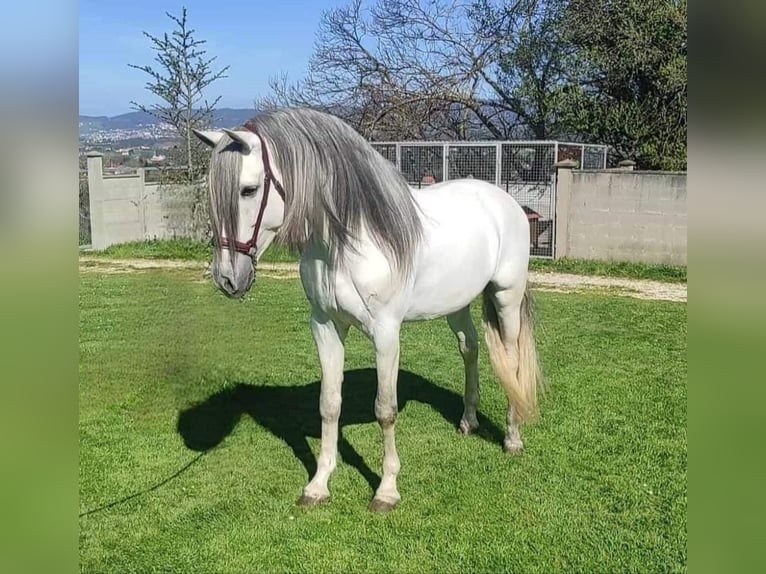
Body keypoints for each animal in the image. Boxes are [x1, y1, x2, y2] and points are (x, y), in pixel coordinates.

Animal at [198, 108, 544, 512]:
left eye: (249, 189)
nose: (227, 278)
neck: (349, 241)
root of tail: (504, 201)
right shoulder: (325, 326)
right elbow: (329, 403)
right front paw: (318, 485)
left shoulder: (386, 333)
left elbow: (386, 410)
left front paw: (387, 490)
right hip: (457, 304)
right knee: (469, 349)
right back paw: (468, 422)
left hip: (507, 297)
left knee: (511, 362)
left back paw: (512, 438)